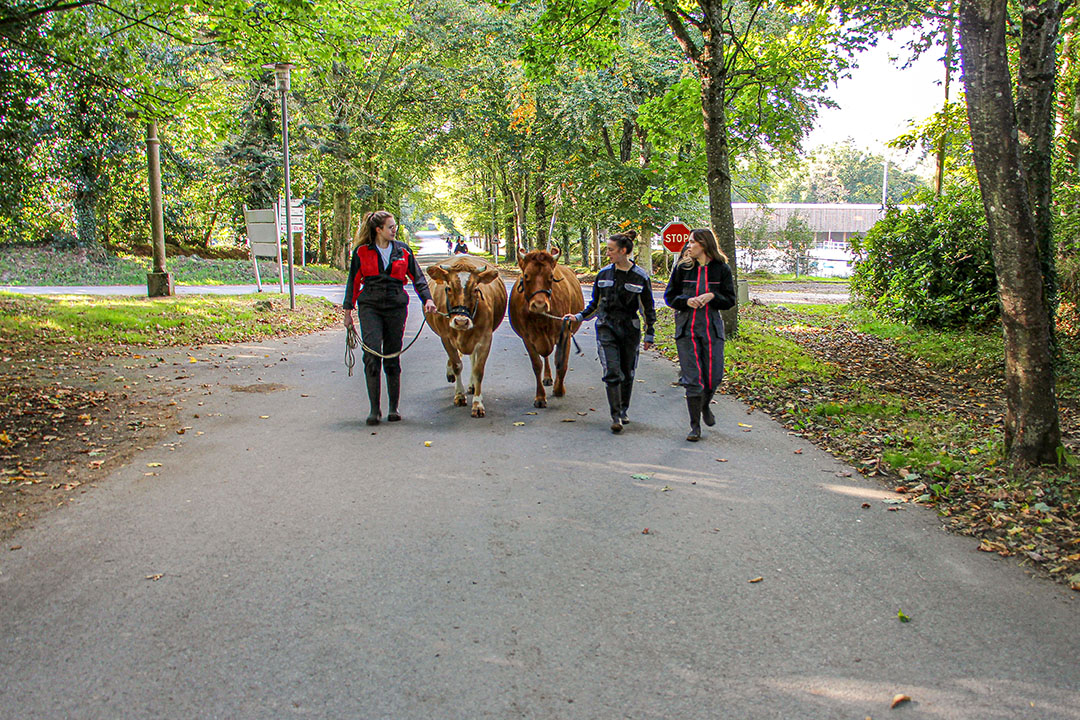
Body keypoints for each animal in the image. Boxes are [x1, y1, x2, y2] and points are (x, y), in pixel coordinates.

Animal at [423, 255, 507, 418]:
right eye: (449, 288)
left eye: (475, 289)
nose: (461, 321)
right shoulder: (446, 338)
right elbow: (457, 365)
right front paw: (459, 395)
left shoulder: (485, 339)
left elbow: (478, 370)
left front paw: (477, 404)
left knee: (472, 359)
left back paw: (472, 385)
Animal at [505, 246, 583, 405]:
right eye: (526, 275)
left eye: (551, 276)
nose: (539, 305)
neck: (540, 320)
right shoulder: (527, 338)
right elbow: (537, 365)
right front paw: (540, 397)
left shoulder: (565, 333)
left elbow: (561, 363)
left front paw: (559, 389)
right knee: (545, 357)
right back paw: (547, 378)